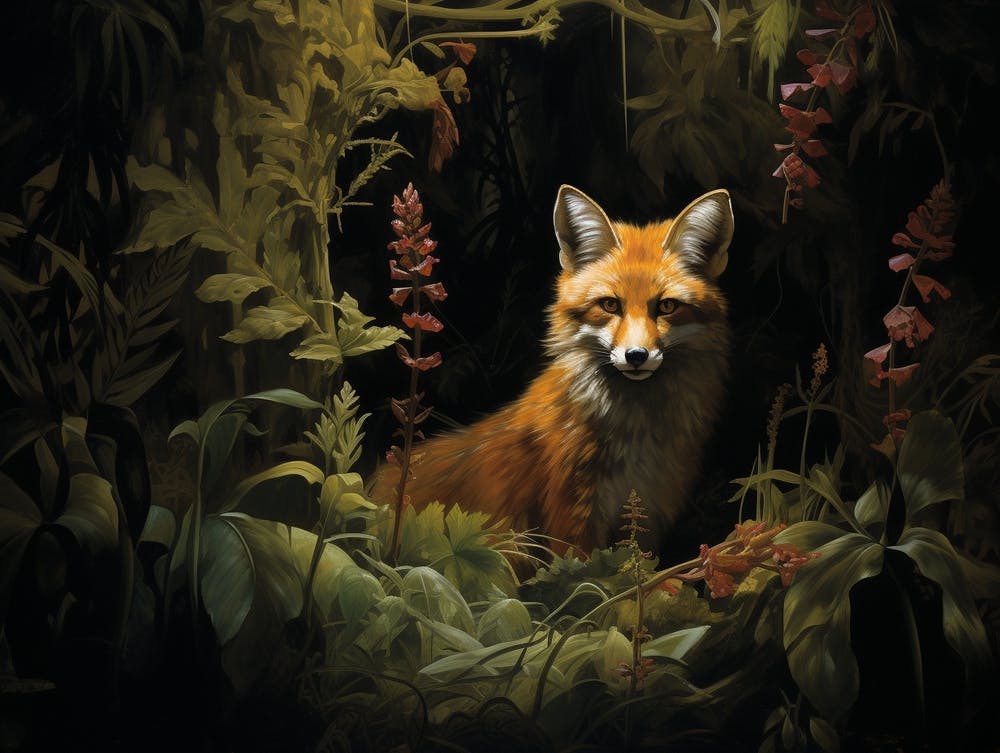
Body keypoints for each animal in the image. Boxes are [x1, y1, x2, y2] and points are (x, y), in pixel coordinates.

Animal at [371, 185, 734, 560]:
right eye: (610, 305)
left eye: (666, 306)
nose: (636, 356)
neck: (636, 433)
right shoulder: (573, 517)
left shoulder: (648, 511)